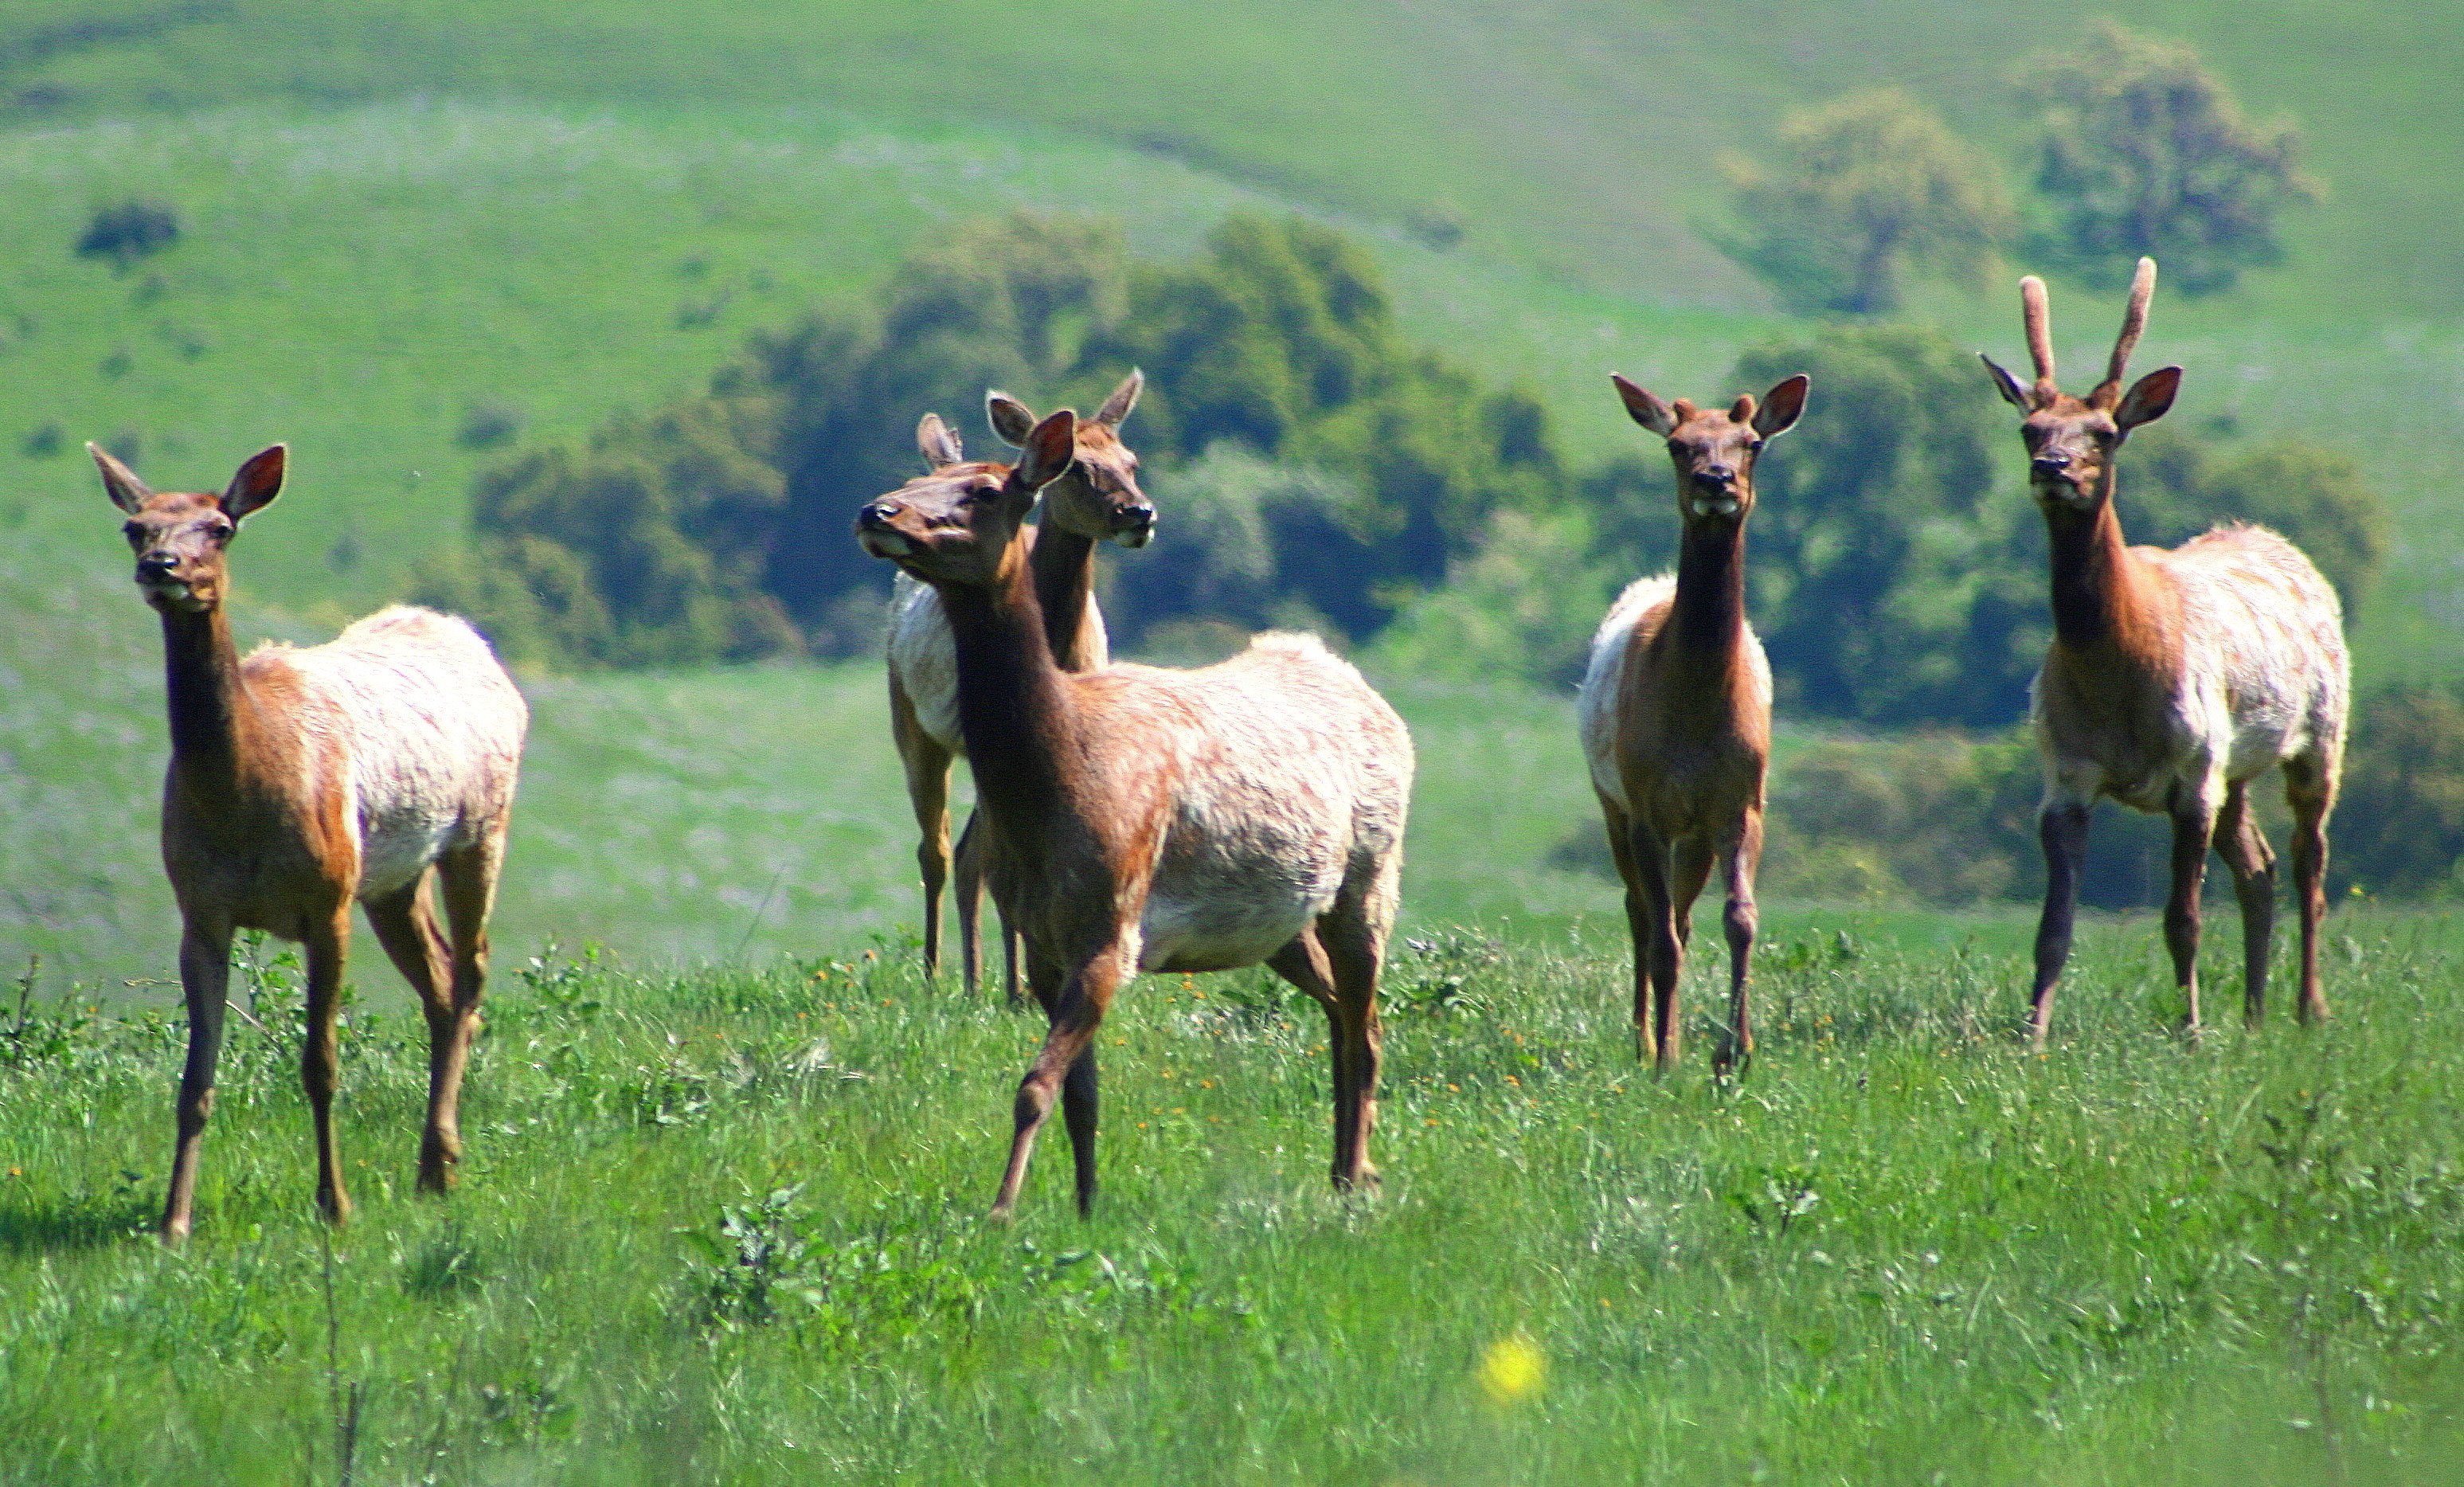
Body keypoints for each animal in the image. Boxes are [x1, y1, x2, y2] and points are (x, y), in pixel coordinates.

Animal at [89, 441, 525, 1242]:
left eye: (221, 527)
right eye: (136, 526)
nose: (163, 566)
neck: (241, 810)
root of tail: (470, 638)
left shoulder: (328, 901)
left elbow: (320, 1063)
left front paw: (335, 1202)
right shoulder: (201, 911)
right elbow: (195, 1079)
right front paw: (174, 1222)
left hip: (479, 827)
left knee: (474, 967)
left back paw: (441, 1159)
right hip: (393, 876)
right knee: (442, 980)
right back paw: (432, 1163)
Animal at [886, 370, 1152, 1001]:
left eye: (1133, 460)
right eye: (1078, 467)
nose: (1141, 513)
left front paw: (1030, 984)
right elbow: (990, 862)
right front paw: (1013, 986)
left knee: (970, 853)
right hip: (911, 719)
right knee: (940, 850)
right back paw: (944, 975)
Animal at [1577, 370, 1813, 1070]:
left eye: (1751, 442)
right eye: (1678, 446)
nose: (1716, 480)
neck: (1696, 714)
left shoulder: (1738, 802)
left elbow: (1740, 919)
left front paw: (1736, 1051)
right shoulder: (1646, 804)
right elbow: (1659, 937)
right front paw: (1667, 1057)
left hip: (1695, 832)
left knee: (1678, 916)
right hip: (1613, 802)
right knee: (1641, 912)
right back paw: (1645, 1038)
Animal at [1981, 259, 2345, 1045]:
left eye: (2105, 432)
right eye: (2030, 427)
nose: (2053, 466)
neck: (2117, 683)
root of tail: (2281, 543)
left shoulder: (2192, 769)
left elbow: (2183, 920)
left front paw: (2190, 1031)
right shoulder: (2064, 772)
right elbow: (2052, 927)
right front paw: (2033, 1035)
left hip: (2319, 732)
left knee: (2310, 862)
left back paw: (2309, 1007)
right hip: (2237, 765)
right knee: (2260, 868)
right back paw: (2254, 1013)